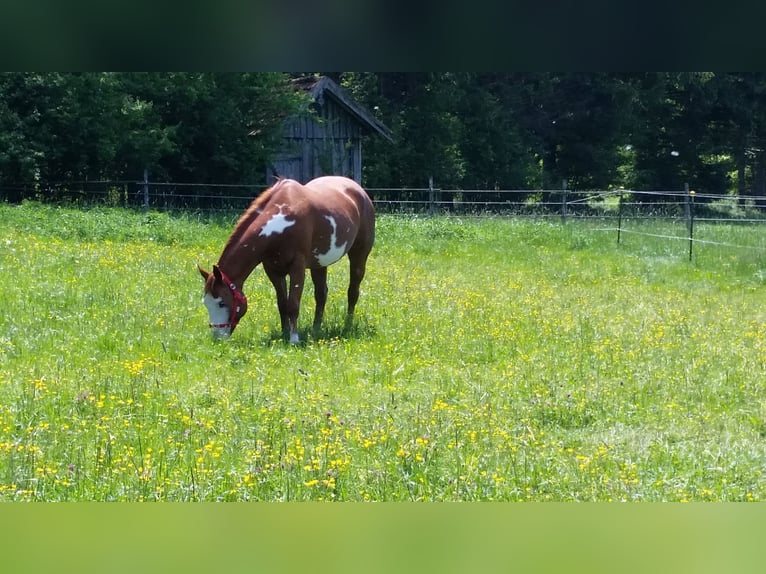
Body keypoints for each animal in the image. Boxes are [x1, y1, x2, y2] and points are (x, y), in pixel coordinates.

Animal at [198, 175, 375, 344]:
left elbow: (293, 304)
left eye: (221, 303)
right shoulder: (273, 270)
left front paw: (294, 339)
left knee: (353, 291)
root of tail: (359, 190)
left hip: (359, 256)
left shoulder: (297, 267)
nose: (218, 338)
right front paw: (284, 334)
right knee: (321, 294)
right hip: (319, 263)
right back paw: (316, 329)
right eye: (206, 302)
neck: (281, 223)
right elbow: (282, 304)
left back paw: (348, 325)